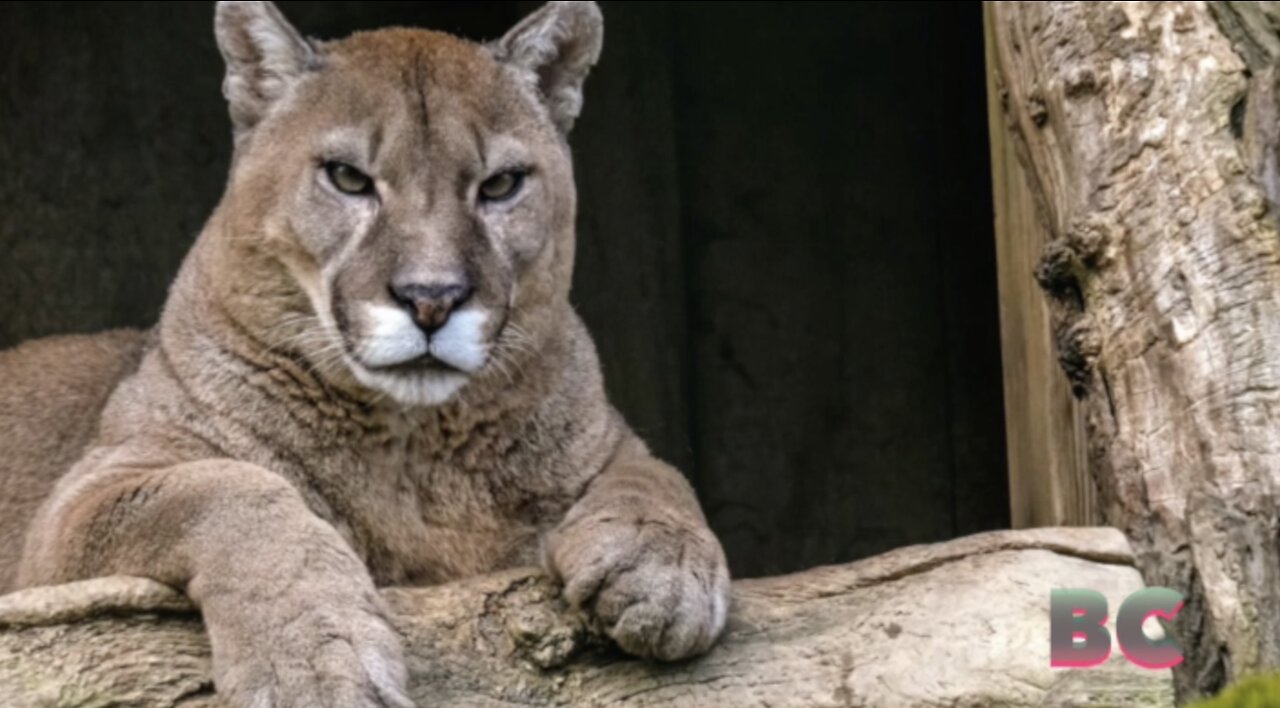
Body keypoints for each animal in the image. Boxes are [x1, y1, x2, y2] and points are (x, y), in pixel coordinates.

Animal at [0, 2, 727, 701]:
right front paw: (312, 662)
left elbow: (657, 475)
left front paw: (665, 573)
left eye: (500, 186)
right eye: (349, 178)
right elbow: (226, 490)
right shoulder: (82, 509)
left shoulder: (608, 440)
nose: (431, 298)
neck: (415, 446)